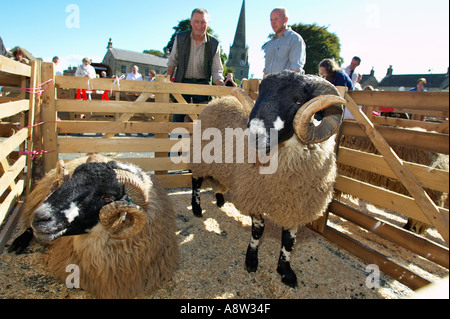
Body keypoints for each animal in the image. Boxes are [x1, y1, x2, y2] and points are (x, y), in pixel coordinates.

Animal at [190, 71, 344, 288]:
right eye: (261, 93)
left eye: (298, 100)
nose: (255, 135)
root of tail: (219, 99)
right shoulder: (254, 194)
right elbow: (258, 230)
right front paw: (251, 260)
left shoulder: (296, 205)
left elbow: (289, 240)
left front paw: (285, 271)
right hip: (201, 156)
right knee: (196, 180)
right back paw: (196, 208)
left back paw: (220, 199)